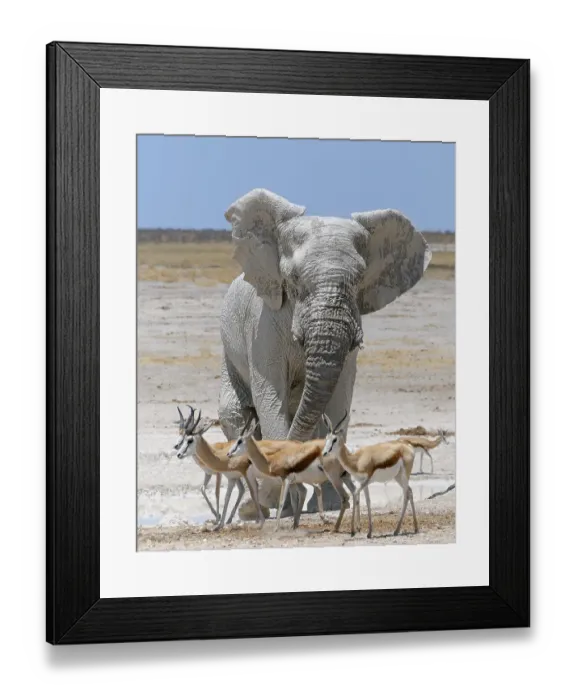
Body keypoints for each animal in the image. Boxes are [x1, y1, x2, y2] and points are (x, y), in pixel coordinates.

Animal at [217, 188, 431, 514]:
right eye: (293, 279)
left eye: (359, 280)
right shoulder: (262, 325)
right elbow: (270, 396)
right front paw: (282, 503)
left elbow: (339, 397)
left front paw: (329, 504)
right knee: (234, 412)